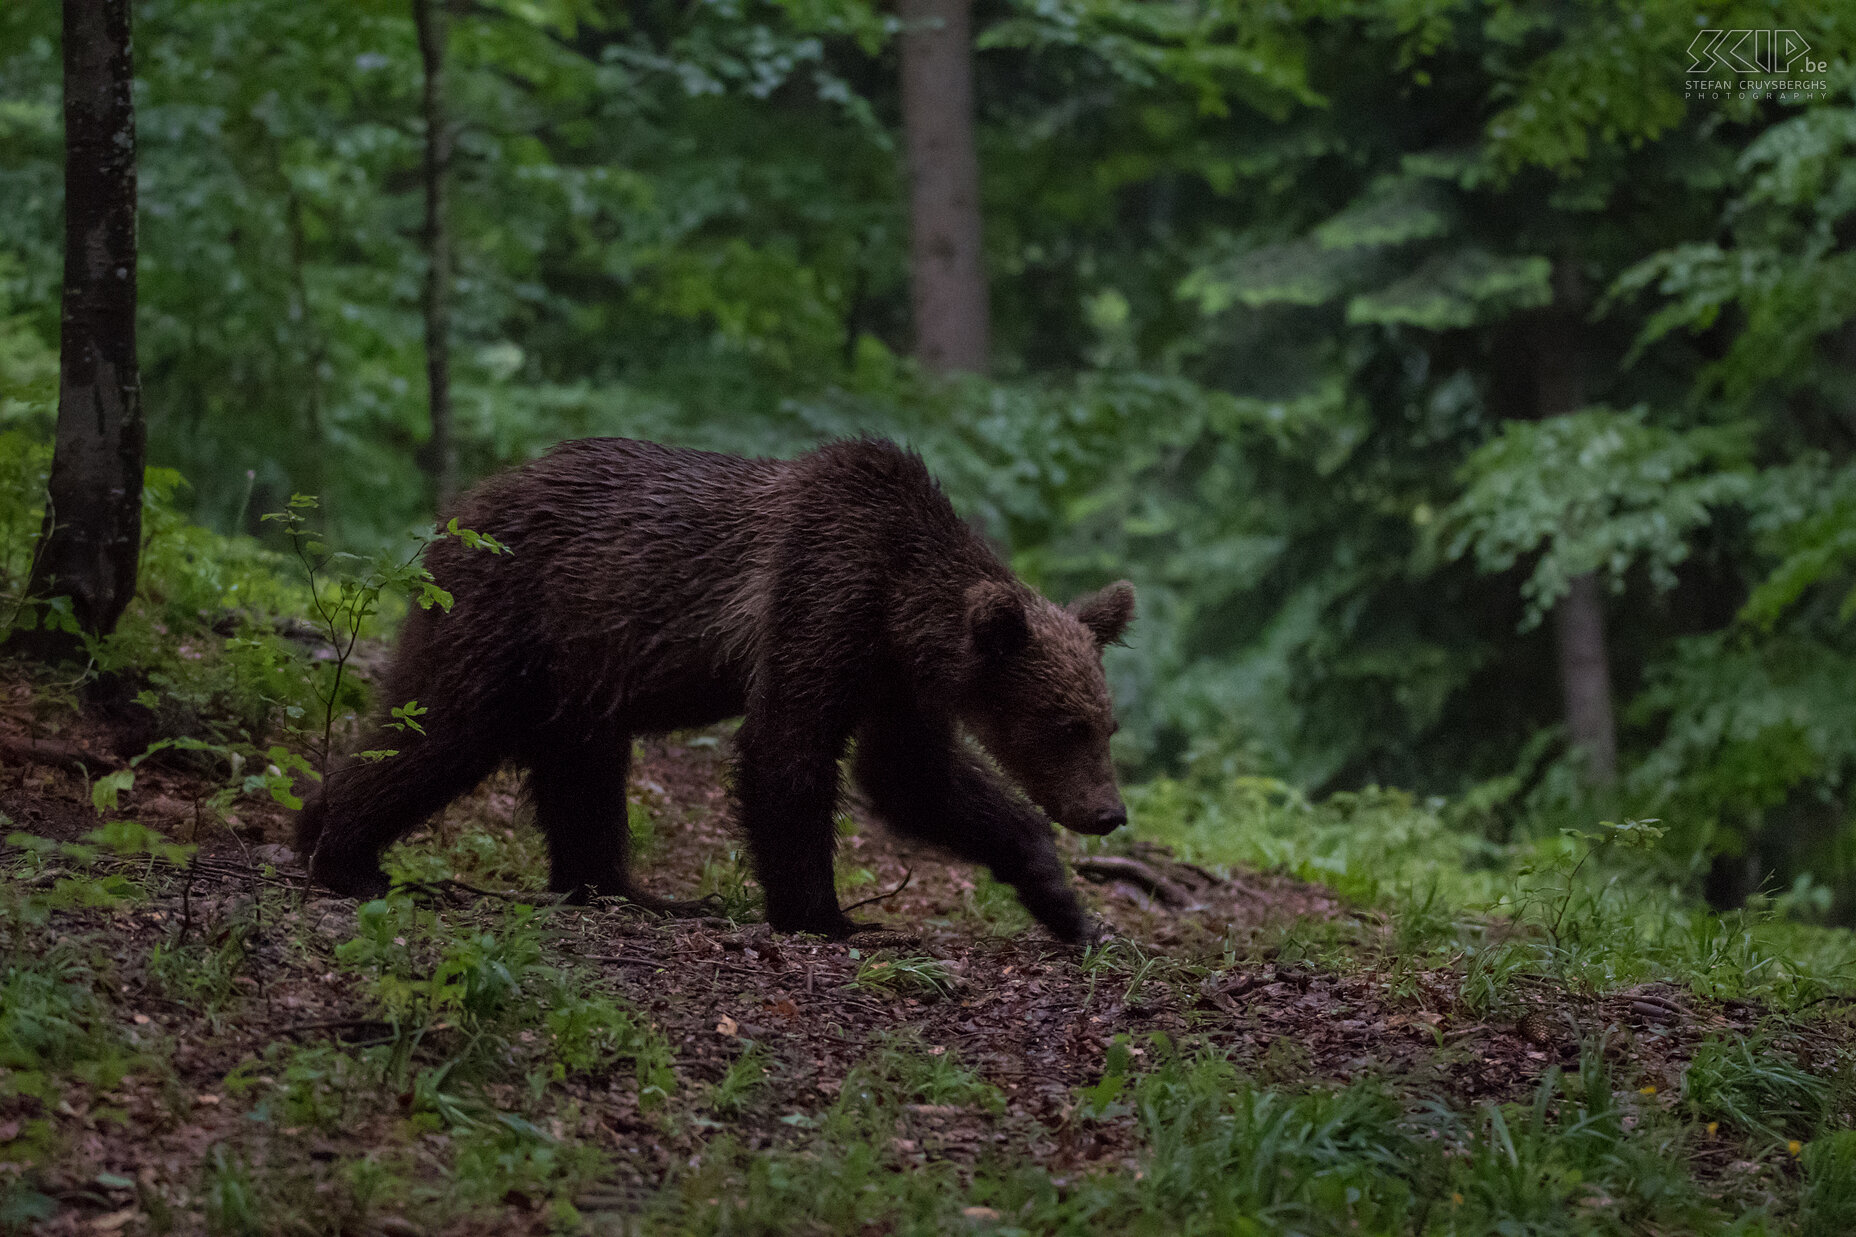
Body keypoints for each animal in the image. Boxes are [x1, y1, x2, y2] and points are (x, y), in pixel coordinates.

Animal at [293, 432, 1128, 936]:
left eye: (1105, 723)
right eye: (1065, 724)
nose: (1108, 812)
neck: (900, 604)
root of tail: (455, 510)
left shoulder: (897, 682)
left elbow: (913, 778)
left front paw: (1063, 901)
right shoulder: (818, 597)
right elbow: (786, 751)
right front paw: (824, 913)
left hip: (580, 665)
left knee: (581, 770)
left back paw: (621, 887)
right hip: (508, 612)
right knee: (442, 727)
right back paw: (344, 854)